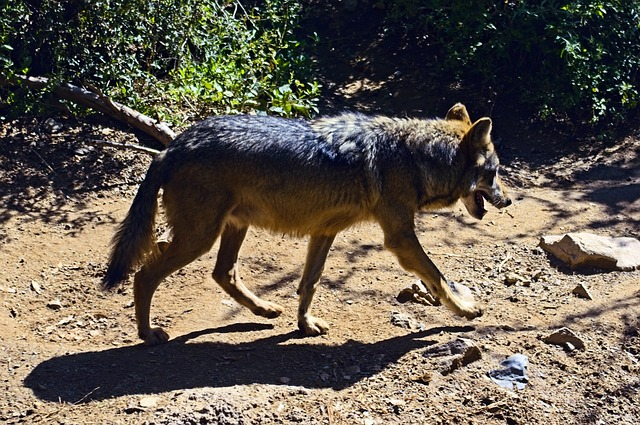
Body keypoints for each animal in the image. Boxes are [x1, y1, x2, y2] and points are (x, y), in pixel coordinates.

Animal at [102, 102, 512, 344]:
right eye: (494, 173)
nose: (508, 200)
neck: (413, 157)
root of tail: (170, 147)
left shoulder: (324, 232)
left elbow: (308, 284)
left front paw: (305, 325)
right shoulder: (400, 238)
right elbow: (439, 278)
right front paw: (466, 309)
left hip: (231, 229)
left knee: (223, 273)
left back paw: (264, 310)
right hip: (199, 238)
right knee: (144, 274)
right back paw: (147, 333)